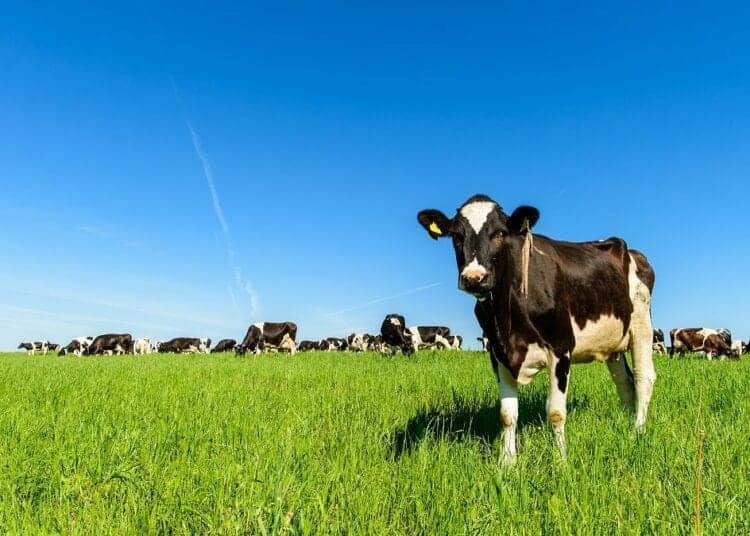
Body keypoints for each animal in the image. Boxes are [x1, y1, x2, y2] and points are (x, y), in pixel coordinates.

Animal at [418, 194, 656, 462]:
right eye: (457, 235)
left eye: (500, 233)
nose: (474, 278)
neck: (507, 318)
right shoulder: (497, 354)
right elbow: (507, 414)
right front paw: (507, 461)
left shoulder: (561, 348)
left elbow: (556, 412)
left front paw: (561, 461)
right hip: (613, 344)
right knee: (624, 383)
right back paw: (625, 424)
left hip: (642, 326)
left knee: (643, 378)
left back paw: (637, 431)